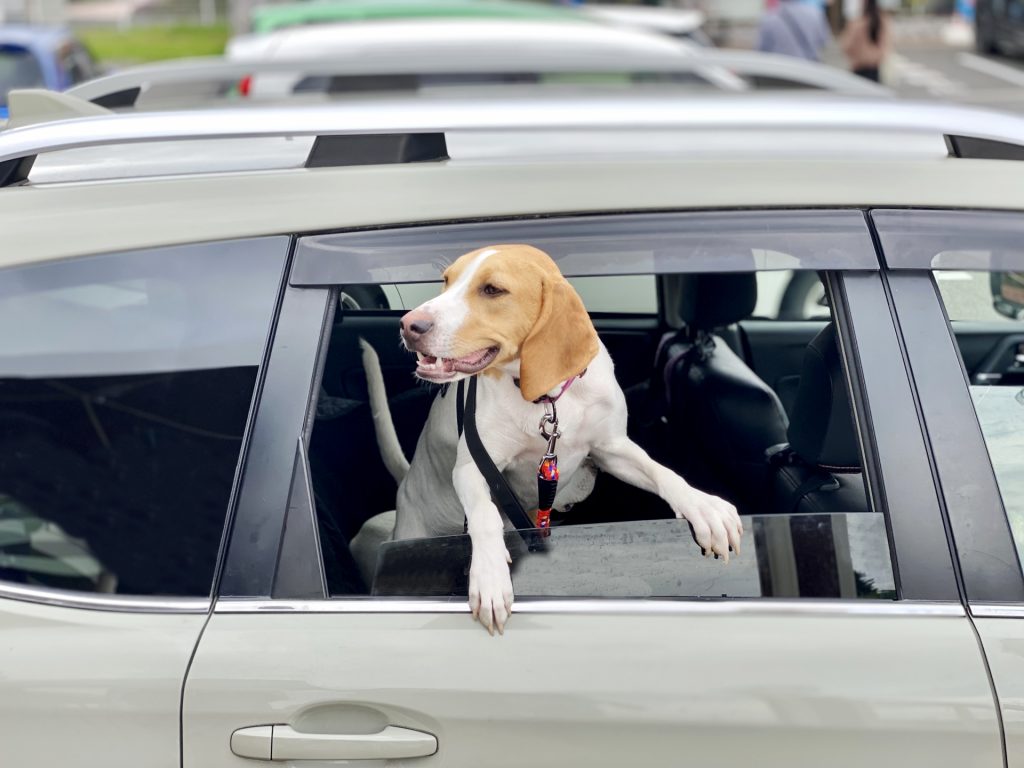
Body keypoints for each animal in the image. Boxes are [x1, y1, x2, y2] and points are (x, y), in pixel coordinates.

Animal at [362, 246, 745, 638]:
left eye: (492, 290)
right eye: (446, 280)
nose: (409, 324)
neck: (546, 398)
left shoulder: (613, 448)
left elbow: (663, 473)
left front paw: (704, 506)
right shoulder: (473, 467)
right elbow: (485, 515)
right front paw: (489, 577)